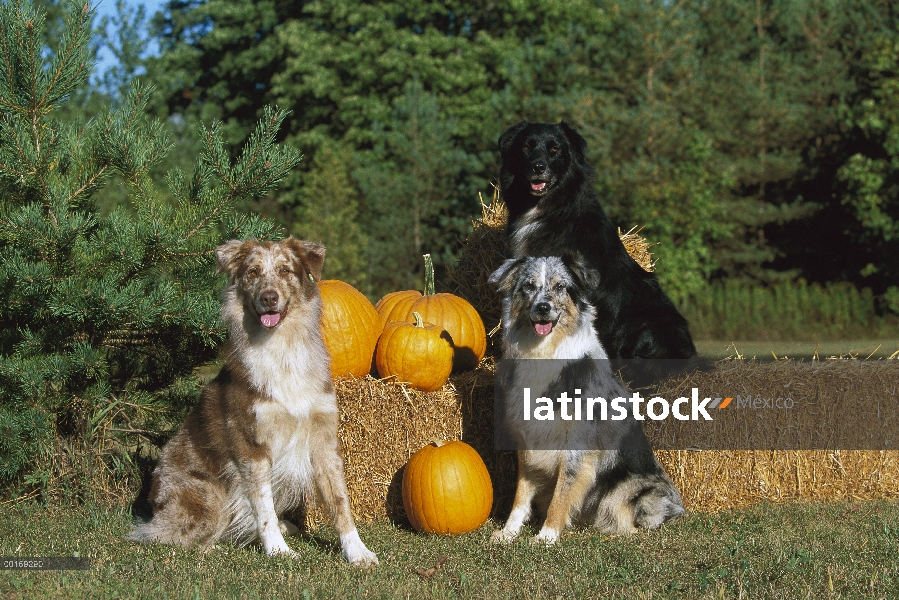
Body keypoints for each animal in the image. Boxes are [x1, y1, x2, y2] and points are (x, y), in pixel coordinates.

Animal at [130, 237, 376, 564]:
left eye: (285, 270)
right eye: (253, 272)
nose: (269, 298)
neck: (283, 349)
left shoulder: (324, 439)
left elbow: (340, 501)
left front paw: (356, 551)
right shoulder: (251, 446)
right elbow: (264, 507)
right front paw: (278, 551)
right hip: (207, 498)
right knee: (164, 535)